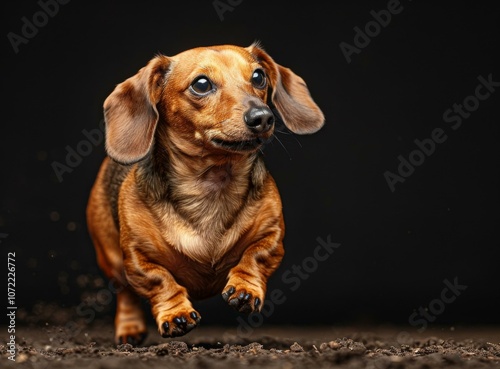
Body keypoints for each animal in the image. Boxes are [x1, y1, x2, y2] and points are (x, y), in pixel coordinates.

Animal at [87, 41, 324, 344]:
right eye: (201, 84)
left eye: (259, 76)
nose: (262, 117)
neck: (211, 184)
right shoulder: (137, 258)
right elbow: (160, 281)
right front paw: (176, 314)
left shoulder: (272, 237)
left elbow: (255, 256)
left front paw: (245, 289)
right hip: (110, 256)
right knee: (125, 292)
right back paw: (130, 329)